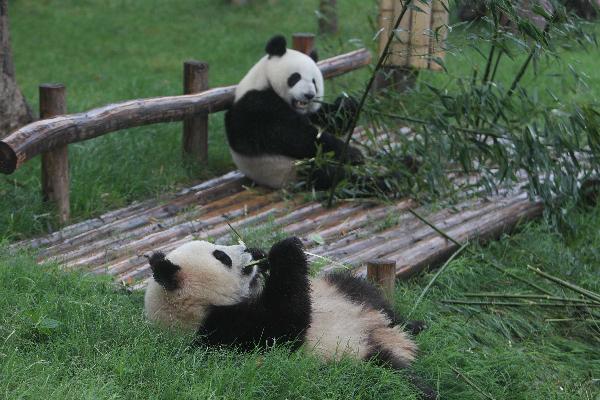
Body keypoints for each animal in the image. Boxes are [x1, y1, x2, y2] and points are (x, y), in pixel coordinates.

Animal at [145, 236, 436, 398]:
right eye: (221, 256)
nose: (250, 252)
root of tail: (392, 338)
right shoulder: (227, 334)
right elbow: (284, 325)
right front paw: (284, 250)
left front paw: (265, 257)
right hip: (353, 360)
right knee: (391, 382)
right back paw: (424, 388)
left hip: (341, 292)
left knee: (368, 296)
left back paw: (415, 325)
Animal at [225, 35, 364, 190]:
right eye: (295, 77)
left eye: (314, 82)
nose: (309, 95)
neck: (264, 80)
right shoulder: (256, 106)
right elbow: (296, 135)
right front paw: (353, 154)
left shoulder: (311, 114)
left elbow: (329, 121)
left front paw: (347, 104)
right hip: (292, 169)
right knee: (334, 176)